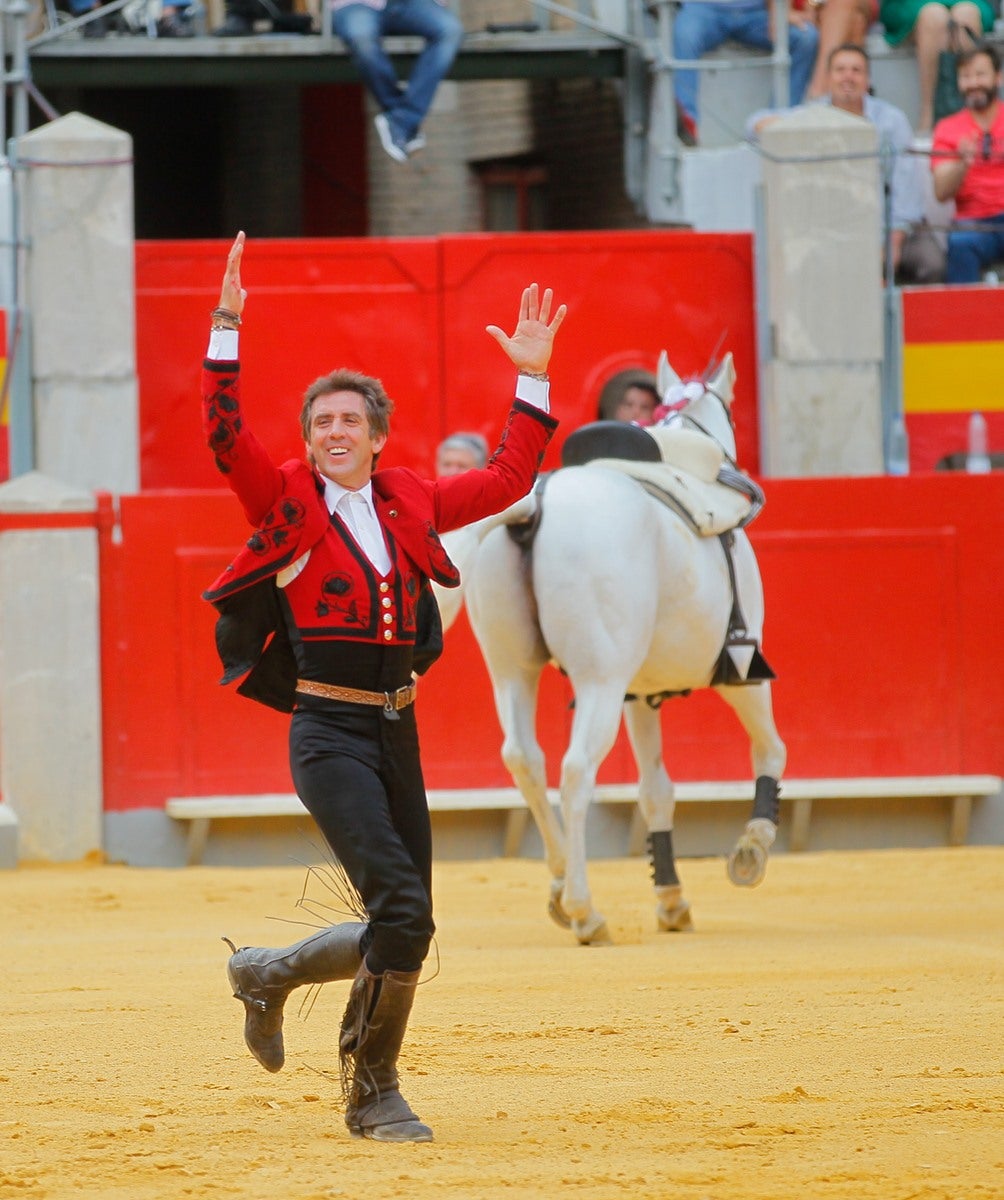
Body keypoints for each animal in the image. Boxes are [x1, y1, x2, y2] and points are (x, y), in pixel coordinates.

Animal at [434, 352, 786, 945]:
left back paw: (559, 884)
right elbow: (770, 749)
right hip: (600, 677)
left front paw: (671, 898)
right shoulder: (744, 667)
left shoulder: (640, 692)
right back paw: (585, 910)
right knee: (577, 770)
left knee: (524, 757)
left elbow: (655, 788)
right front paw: (751, 849)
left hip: (512, 668)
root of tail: (535, 503)